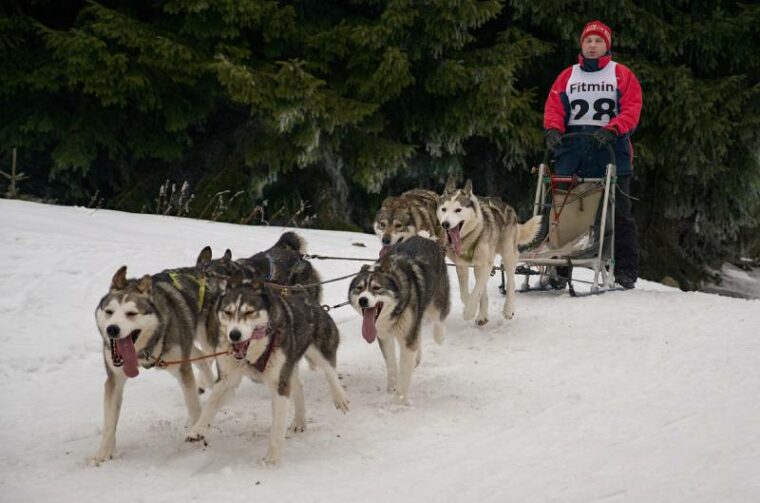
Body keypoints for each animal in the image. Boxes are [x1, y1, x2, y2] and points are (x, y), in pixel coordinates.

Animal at [91, 251, 220, 464]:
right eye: (109, 312)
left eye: (131, 313)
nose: (112, 329)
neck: (143, 351)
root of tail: (205, 270)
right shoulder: (114, 379)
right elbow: (109, 423)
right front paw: (102, 455)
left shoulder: (182, 369)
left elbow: (193, 406)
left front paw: (199, 435)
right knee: (201, 357)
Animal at [186, 276, 348, 468]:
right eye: (228, 312)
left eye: (249, 312)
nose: (234, 335)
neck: (253, 353)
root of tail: (306, 296)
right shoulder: (227, 379)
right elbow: (211, 404)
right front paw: (198, 429)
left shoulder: (279, 385)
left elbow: (277, 427)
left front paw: (272, 458)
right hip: (289, 365)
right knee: (298, 385)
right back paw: (299, 420)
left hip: (318, 350)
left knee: (330, 370)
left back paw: (340, 397)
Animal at [348, 236, 448, 406]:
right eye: (359, 288)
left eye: (376, 288)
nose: (363, 300)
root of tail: (425, 238)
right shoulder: (384, 336)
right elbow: (391, 365)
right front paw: (392, 387)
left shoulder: (407, 341)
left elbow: (404, 372)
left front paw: (398, 403)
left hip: (436, 302)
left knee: (438, 318)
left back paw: (439, 336)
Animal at [436, 177, 544, 326]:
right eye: (444, 209)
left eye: (458, 210)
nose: (445, 224)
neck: (472, 235)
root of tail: (508, 207)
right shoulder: (462, 265)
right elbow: (466, 293)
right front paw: (472, 306)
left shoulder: (485, 263)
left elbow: (477, 291)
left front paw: (469, 311)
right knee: (483, 289)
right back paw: (482, 315)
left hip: (508, 255)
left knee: (510, 282)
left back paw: (508, 309)